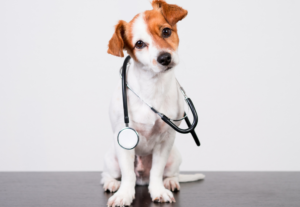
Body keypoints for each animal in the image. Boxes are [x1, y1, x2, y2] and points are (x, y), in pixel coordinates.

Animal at [102, 0, 205, 206]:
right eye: (139, 44)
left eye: (166, 31)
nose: (164, 58)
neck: (153, 86)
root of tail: (142, 178)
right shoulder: (123, 141)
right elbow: (127, 175)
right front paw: (124, 195)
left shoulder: (166, 140)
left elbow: (157, 172)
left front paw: (158, 191)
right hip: (112, 158)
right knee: (110, 174)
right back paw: (112, 183)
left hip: (174, 156)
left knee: (169, 173)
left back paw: (170, 182)